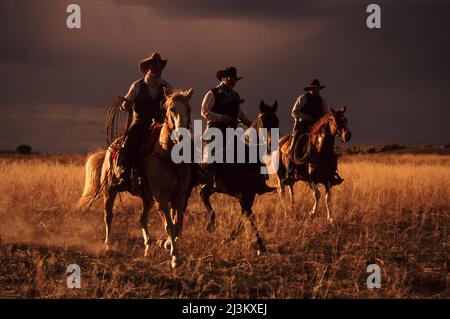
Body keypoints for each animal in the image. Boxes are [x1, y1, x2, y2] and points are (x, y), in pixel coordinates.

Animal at [78, 87, 193, 268]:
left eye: (188, 109)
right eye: (171, 109)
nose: (181, 137)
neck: (166, 156)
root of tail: (109, 149)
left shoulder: (179, 197)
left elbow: (177, 225)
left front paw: (166, 245)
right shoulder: (161, 198)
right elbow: (169, 226)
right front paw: (175, 257)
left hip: (147, 198)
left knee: (142, 219)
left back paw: (147, 249)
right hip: (109, 192)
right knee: (108, 217)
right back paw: (108, 246)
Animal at [188, 100, 280, 255]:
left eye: (276, 121)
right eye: (263, 121)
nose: (271, 145)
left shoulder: (250, 194)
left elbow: (244, 214)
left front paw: (229, 238)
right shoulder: (242, 194)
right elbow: (250, 216)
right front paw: (260, 245)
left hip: (211, 186)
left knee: (203, 194)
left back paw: (211, 224)